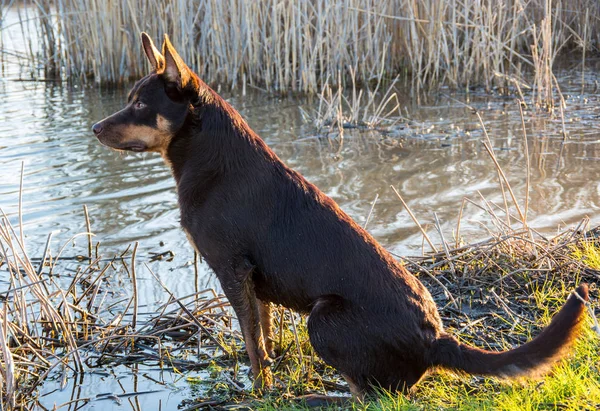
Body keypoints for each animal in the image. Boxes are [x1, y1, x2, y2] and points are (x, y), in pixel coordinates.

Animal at [91, 33, 588, 404]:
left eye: (140, 105)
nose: (94, 128)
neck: (206, 153)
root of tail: (433, 337)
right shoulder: (252, 281)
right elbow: (264, 337)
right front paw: (269, 378)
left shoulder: (232, 271)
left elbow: (253, 344)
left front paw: (259, 391)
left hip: (323, 319)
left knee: (372, 397)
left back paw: (319, 397)